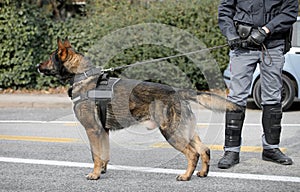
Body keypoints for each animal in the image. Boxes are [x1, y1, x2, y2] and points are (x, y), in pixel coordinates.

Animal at [37, 37, 239, 182]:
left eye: (49, 57)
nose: (37, 66)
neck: (82, 75)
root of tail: (177, 91)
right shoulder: (104, 131)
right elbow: (104, 155)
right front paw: (102, 170)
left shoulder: (93, 130)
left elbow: (95, 155)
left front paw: (94, 174)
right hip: (185, 130)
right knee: (204, 149)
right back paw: (202, 173)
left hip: (170, 132)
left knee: (193, 153)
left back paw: (185, 176)